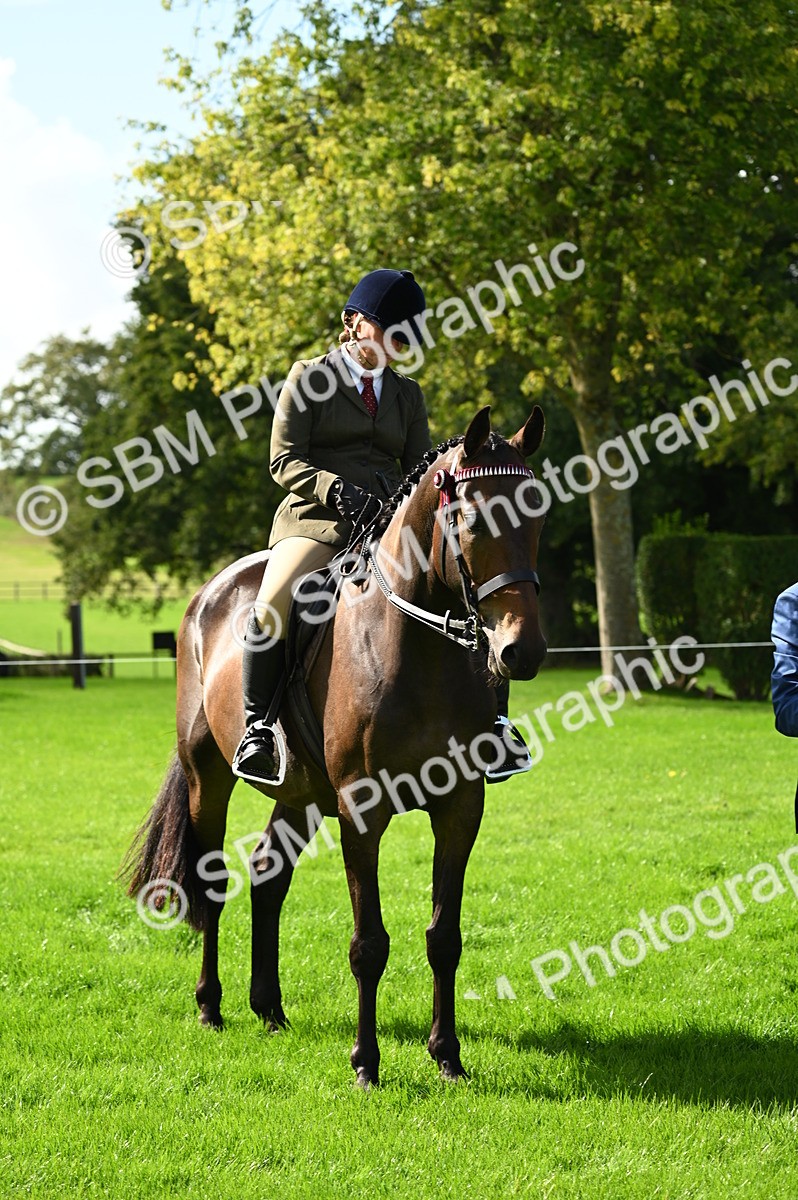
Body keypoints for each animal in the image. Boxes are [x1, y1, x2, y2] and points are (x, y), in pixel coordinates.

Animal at [125, 403, 547, 1087]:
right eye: (472, 519)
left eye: (537, 515)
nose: (522, 651)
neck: (418, 648)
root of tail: (210, 591)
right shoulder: (361, 808)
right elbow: (369, 943)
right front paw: (366, 1064)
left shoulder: (461, 806)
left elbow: (445, 937)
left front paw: (448, 1057)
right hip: (208, 775)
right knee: (213, 880)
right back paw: (211, 1006)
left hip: (302, 795)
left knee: (267, 874)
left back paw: (269, 1009)